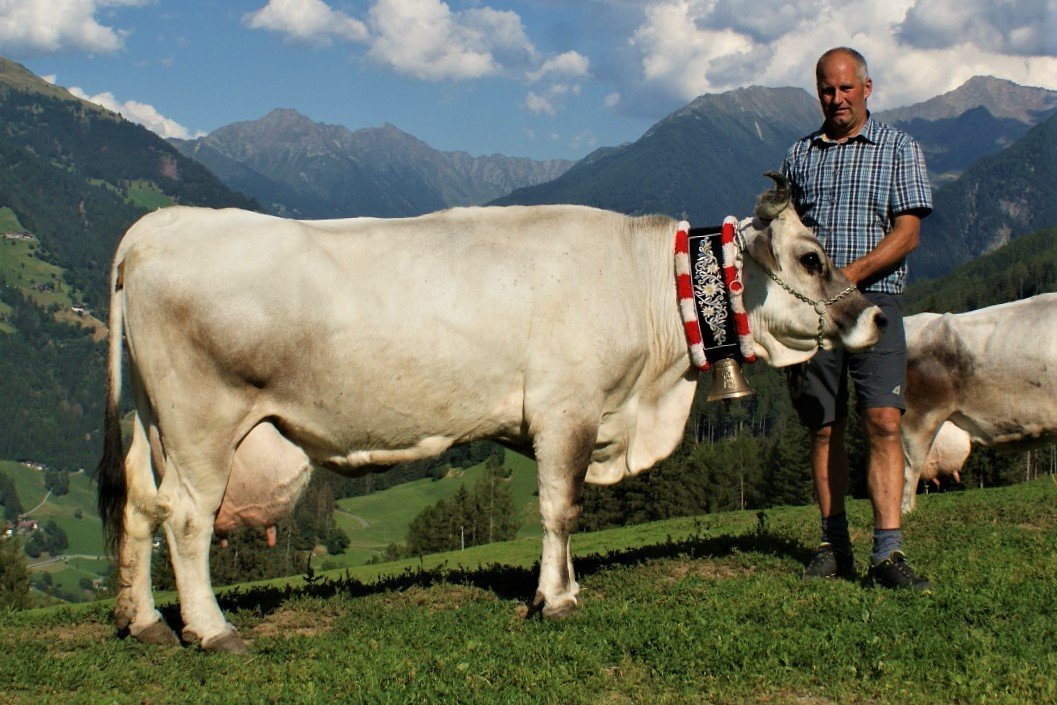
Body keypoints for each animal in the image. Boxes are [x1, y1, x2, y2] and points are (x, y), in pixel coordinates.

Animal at [97, 175, 883, 651]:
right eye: (811, 258)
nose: (872, 316)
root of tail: (158, 227)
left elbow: (562, 510)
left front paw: (564, 587)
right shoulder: (567, 409)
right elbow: (560, 508)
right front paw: (556, 600)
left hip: (152, 421)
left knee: (137, 506)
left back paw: (144, 622)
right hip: (200, 422)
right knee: (187, 520)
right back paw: (211, 630)